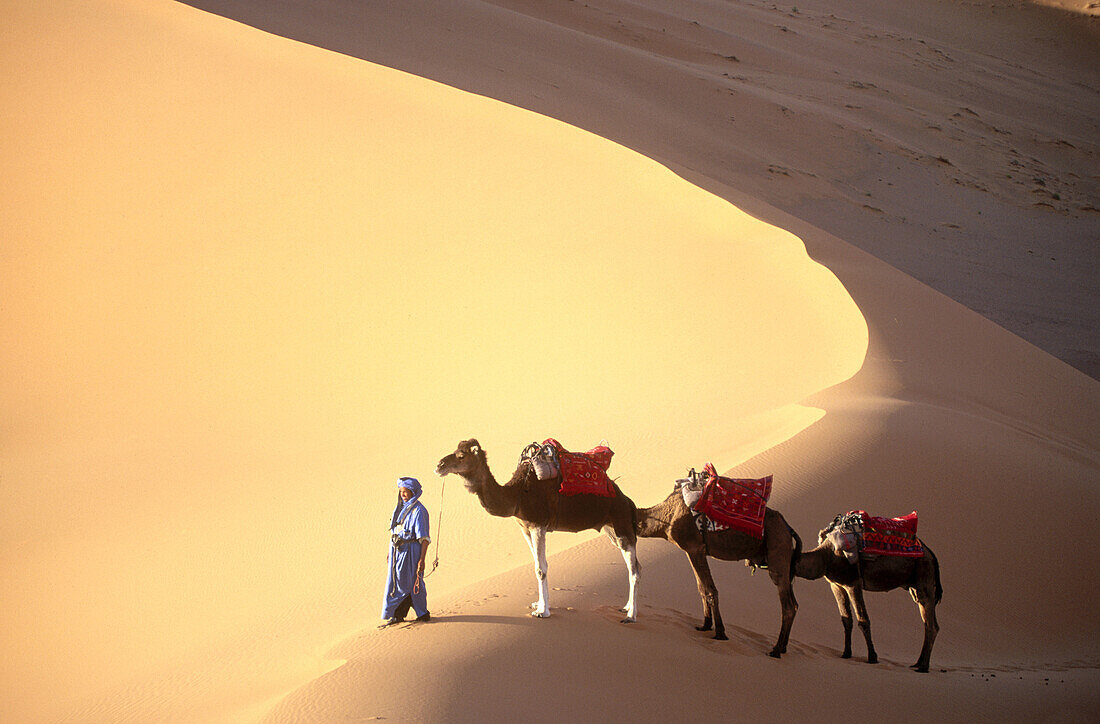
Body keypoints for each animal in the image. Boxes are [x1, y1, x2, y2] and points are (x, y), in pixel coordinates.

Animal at [433, 437, 642, 616]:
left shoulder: (538, 525)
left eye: (461, 455)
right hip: (610, 528)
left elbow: (541, 568)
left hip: (621, 522)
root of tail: (627, 501)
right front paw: (539, 604)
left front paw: (543, 611)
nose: (439, 465)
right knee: (633, 565)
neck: (517, 495)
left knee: (634, 570)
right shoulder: (525, 528)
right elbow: (536, 566)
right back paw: (626, 607)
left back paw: (631, 615)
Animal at [638, 470, 800, 655]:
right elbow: (701, 588)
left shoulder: (695, 548)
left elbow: (710, 590)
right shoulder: (691, 551)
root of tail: (788, 529)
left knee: (788, 604)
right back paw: (783, 647)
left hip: (778, 551)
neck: (667, 515)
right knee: (794, 603)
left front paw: (720, 633)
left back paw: (776, 649)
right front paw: (705, 625)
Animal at [796, 514, 941, 668]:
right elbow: (846, 619)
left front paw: (872, 657)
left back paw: (923, 667)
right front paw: (846, 654)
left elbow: (863, 620)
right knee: (929, 621)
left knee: (931, 624)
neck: (826, 555)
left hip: (924, 574)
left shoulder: (853, 583)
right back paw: (918, 663)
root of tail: (931, 554)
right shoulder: (836, 585)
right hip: (915, 585)